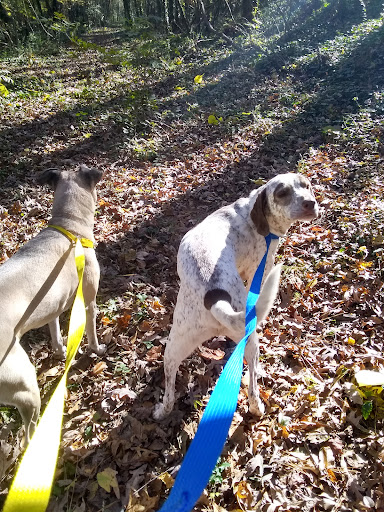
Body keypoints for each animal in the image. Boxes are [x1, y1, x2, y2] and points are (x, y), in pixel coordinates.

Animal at [0, 165, 105, 444]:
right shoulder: (88, 302)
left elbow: (56, 331)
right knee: (28, 435)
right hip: (25, 385)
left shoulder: (52, 306)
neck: (70, 228)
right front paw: (97, 349)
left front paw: (60, 350)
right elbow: (91, 332)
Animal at [154, 172, 320, 420]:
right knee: (252, 384)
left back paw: (161, 411)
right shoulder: (260, 269)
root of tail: (214, 297)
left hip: (174, 347)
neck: (251, 213)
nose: (310, 203)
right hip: (250, 341)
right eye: (282, 193)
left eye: (306, 186)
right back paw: (257, 406)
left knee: (169, 393)